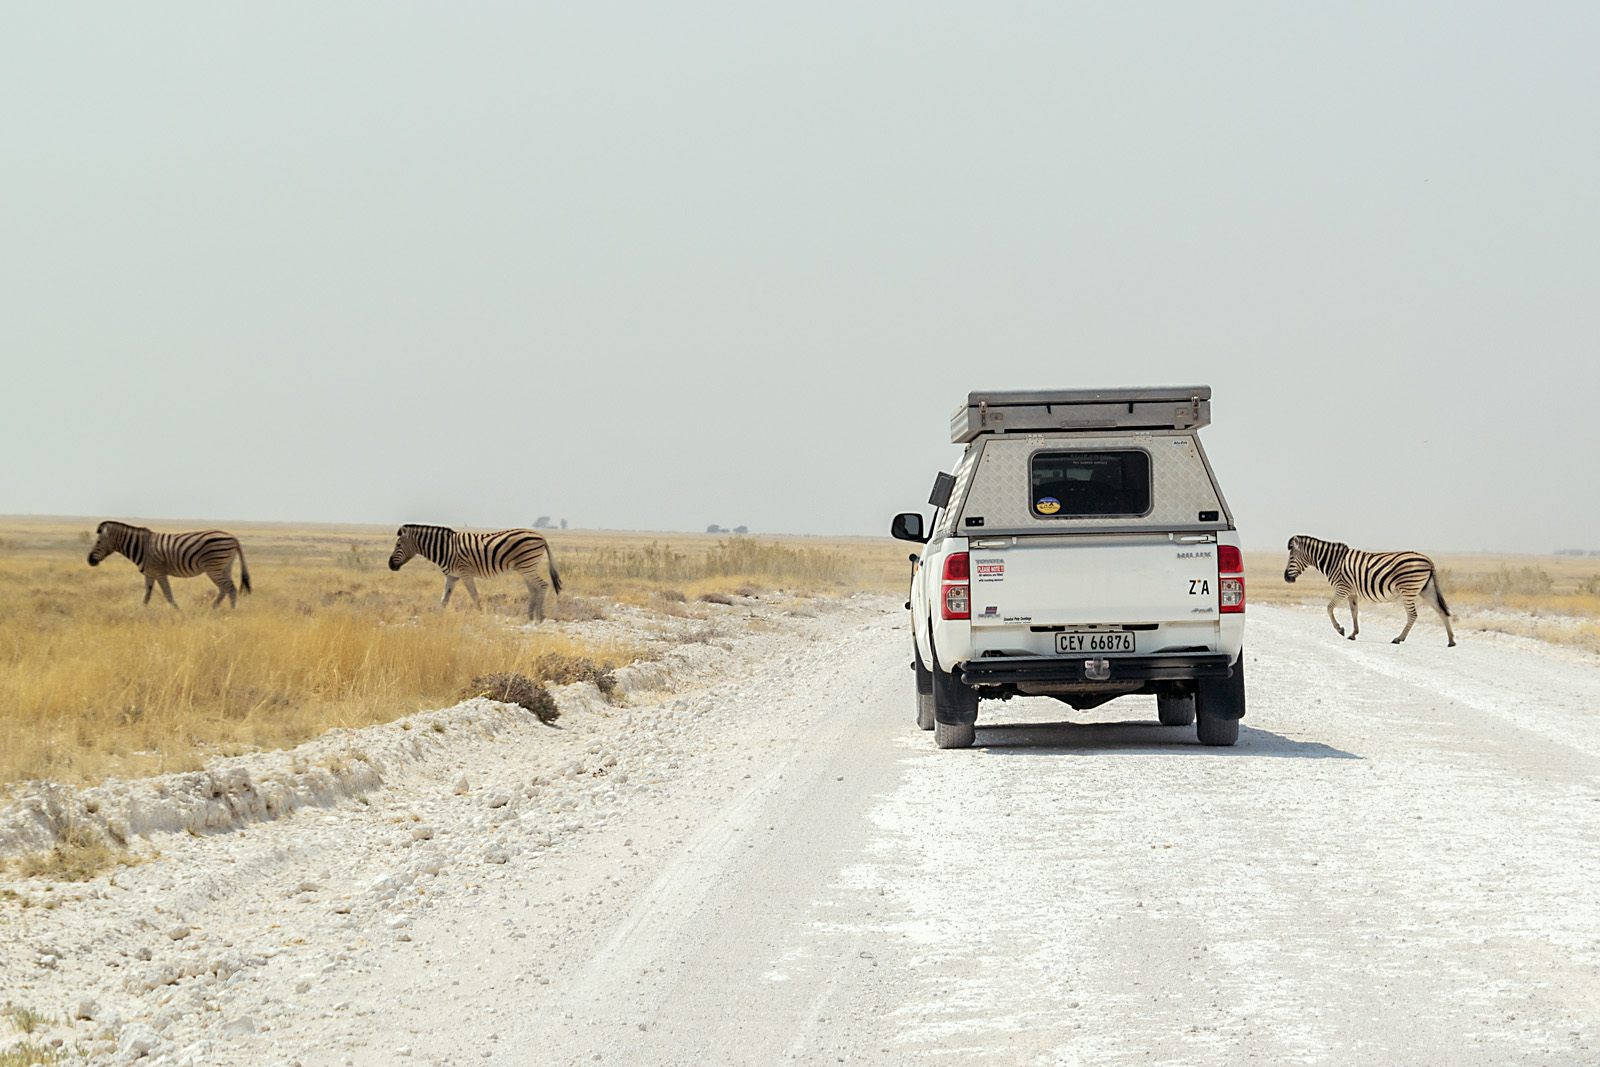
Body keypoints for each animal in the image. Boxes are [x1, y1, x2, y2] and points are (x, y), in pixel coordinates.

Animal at [88, 518, 252, 604]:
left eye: (98, 542)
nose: (89, 560)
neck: (141, 547)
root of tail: (233, 537)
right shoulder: (149, 574)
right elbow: (146, 596)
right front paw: (141, 613)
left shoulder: (159, 572)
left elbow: (168, 594)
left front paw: (178, 613)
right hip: (225, 566)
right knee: (229, 588)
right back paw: (221, 610)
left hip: (213, 566)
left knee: (228, 587)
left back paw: (221, 611)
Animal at [387, 524, 563, 620]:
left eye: (398, 545)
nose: (390, 565)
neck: (445, 548)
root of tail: (540, 535)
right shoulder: (451, 576)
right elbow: (444, 599)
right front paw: (439, 616)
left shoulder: (464, 572)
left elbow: (474, 595)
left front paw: (480, 613)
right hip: (525, 568)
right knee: (533, 588)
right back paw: (530, 616)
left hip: (527, 566)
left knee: (542, 585)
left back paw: (540, 617)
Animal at [1280, 537, 1459, 646]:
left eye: (1291, 558)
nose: (1286, 578)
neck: (1334, 562)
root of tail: (1428, 560)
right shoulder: (1352, 592)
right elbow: (1354, 612)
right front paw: (1353, 633)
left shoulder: (1342, 588)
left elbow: (1329, 608)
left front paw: (1340, 629)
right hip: (1426, 589)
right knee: (1441, 611)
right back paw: (1451, 641)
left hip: (1408, 589)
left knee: (1414, 615)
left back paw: (1398, 638)